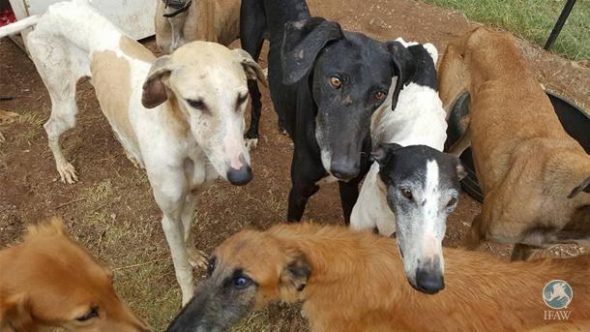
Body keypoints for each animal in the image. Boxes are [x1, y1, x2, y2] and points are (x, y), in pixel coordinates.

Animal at [0, 0, 266, 304]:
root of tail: (46, 13)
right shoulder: (168, 216)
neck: (184, 139)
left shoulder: (191, 197)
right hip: (65, 103)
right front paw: (187, 297)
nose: (241, 175)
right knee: (50, 128)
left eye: (242, 97)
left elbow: (187, 233)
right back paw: (63, 167)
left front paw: (193, 254)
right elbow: (181, 269)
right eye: (194, 102)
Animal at [240, 0, 416, 223]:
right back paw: (253, 133)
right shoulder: (299, 191)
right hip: (250, 53)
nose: (345, 169)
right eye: (335, 81)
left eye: (379, 94)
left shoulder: (350, 188)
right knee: (257, 98)